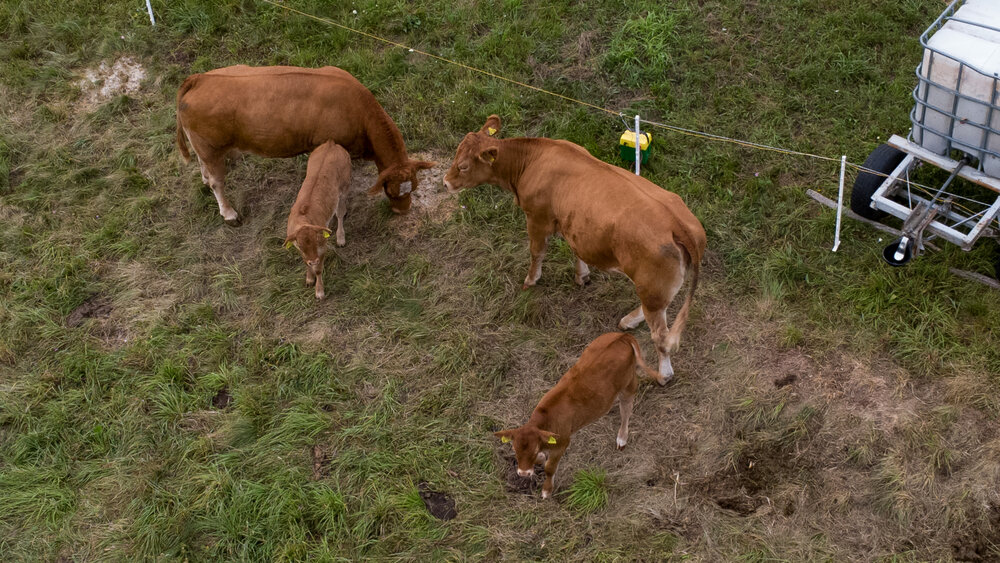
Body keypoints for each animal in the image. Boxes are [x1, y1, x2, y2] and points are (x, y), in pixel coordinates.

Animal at [175, 65, 434, 223]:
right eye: (390, 190)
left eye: (414, 187)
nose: (403, 211)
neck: (359, 111)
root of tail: (199, 79)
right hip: (211, 149)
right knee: (217, 182)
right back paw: (229, 213)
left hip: (205, 149)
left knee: (206, 172)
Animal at [285, 141, 350, 300]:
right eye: (301, 246)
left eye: (316, 240)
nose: (313, 260)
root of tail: (331, 143)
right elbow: (305, 263)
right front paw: (309, 279)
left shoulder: (322, 248)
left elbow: (319, 270)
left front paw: (319, 291)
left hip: (344, 187)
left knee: (340, 213)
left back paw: (340, 237)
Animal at [443, 115, 706, 381]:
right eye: (456, 155)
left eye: (463, 166)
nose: (445, 182)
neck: (532, 159)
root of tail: (676, 223)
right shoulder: (571, 222)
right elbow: (575, 249)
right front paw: (582, 276)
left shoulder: (537, 218)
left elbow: (536, 252)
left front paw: (531, 280)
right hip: (656, 286)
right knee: (658, 309)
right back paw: (629, 321)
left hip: (652, 284)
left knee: (661, 334)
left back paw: (663, 374)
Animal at [494, 332, 662, 499]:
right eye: (514, 449)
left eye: (533, 450)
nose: (523, 473)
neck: (546, 419)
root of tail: (622, 336)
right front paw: (541, 460)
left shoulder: (562, 443)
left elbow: (549, 468)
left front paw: (547, 490)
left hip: (628, 384)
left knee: (626, 409)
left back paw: (622, 438)